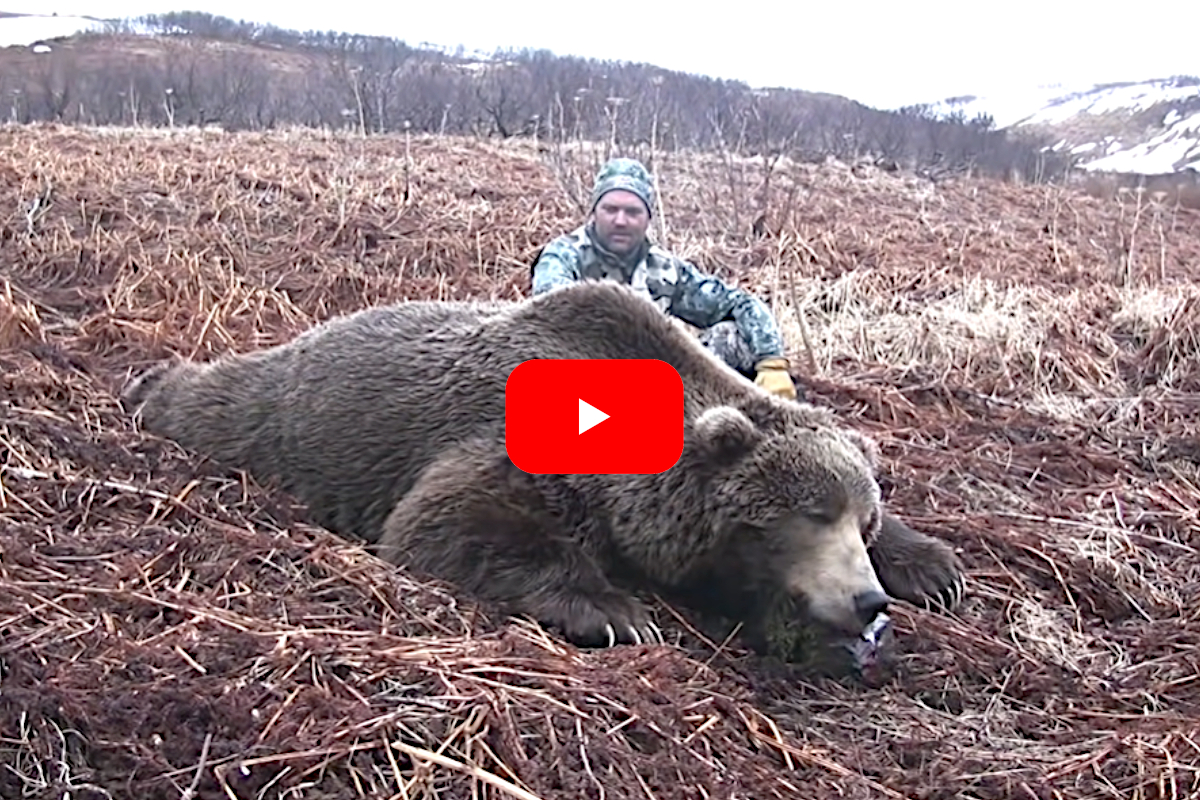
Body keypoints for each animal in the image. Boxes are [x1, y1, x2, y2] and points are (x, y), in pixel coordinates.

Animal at [122, 280, 965, 651]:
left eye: (863, 518)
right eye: (809, 514)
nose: (865, 600)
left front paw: (934, 567)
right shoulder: (520, 452)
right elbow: (451, 521)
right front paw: (616, 611)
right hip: (291, 418)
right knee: (218, 402)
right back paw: (146, 383)